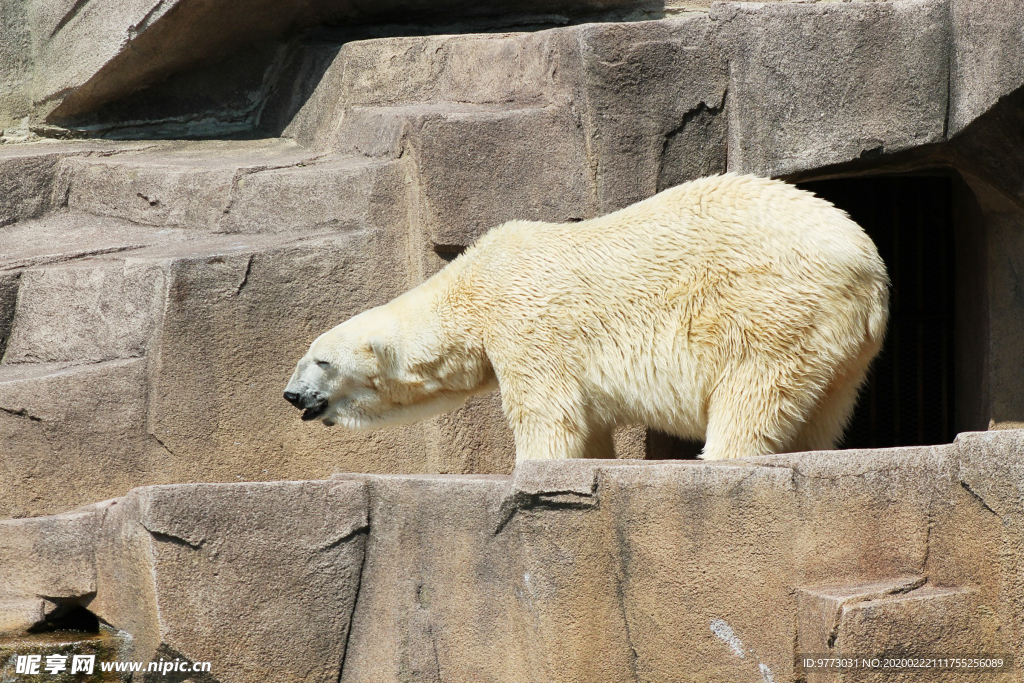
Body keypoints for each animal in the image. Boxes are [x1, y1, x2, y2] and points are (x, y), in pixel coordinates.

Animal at [282, 174, 888, 462]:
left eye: (321, 360)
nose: (291, 395)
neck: (473, 287)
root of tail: (869, 266)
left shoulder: (526, 326)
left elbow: (548, 417)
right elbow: (589, 427)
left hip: (770, 305)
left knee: (753, 391)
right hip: (837, 342)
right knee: (821, 408)